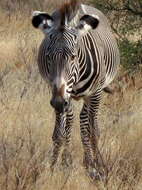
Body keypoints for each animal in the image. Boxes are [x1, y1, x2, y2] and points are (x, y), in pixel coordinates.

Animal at [31, 0, 119, 178]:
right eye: (48, 57)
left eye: (73, 56)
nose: (58, 102)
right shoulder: (59, 92)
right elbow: (59, 133)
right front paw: (54, 166)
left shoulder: (95, 93)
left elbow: (93, 131)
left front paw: (97, 167)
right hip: (70, 98)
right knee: (73, 120)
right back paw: (69, 160)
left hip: (89, 95)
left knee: (86, 121)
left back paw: (89, 161)